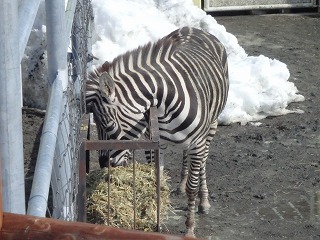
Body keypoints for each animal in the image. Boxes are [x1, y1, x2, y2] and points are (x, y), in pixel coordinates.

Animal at [86, 26, 229, 236]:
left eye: (108, 125)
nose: (104, 164)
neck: (164, 105)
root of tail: (192, 28)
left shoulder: (197, 143)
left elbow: (192, 187)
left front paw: (189, 229)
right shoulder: (154, 143)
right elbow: (157, 181)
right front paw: (157, 221)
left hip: (211, 126)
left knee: (203, 161)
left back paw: (203, 201)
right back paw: (181, 184)